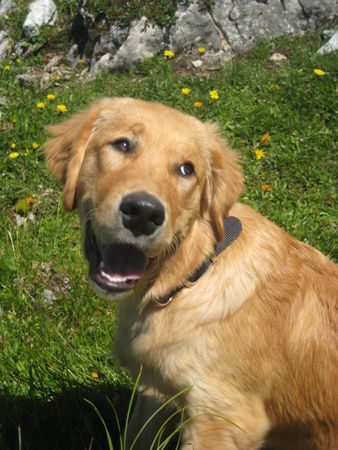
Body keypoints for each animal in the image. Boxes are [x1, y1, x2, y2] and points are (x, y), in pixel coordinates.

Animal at [44, 98, 336, 450]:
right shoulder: (155, 393)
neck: (190, 277)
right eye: (122, 145)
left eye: (187, 169)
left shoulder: (222, 419)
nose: (143, 214)